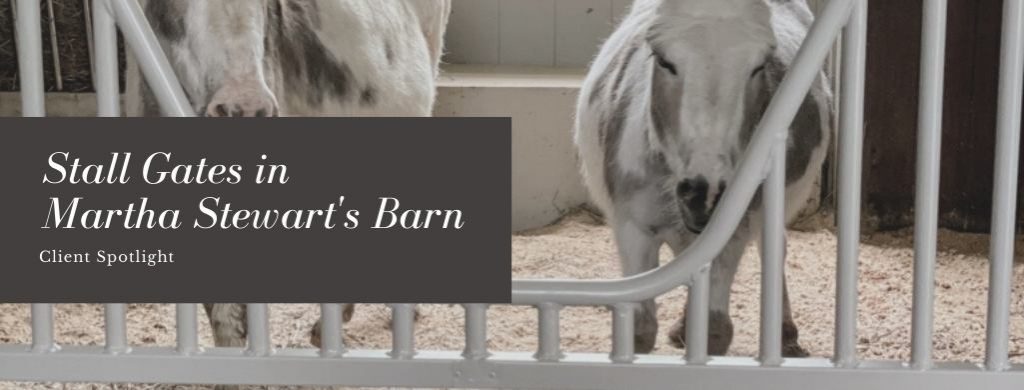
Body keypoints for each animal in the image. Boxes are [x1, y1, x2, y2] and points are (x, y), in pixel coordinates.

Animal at [577, 0, 831, 354]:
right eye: (664, 60)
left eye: (759, 66)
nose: (706, 196)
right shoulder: (633, 229)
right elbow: (640, 332)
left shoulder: (732, 231)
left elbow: (715, 333)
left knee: (773, 249)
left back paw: (785, 336)